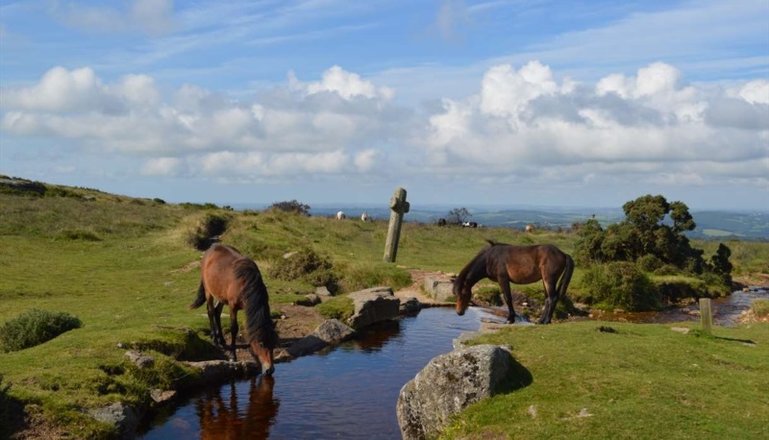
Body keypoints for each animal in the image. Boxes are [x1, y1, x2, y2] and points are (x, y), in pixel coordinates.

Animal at [190, 244, 278, 374]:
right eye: (261, 344)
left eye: (274, 343)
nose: (269, 370)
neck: (245, 283)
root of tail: (212, 248)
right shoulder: (233, 307)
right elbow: (234, 328)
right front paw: (233, 356)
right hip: (208, 291)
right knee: (210, 311)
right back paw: (215, 339)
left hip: (221, 296)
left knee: (216, 311)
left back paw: (221, 339)